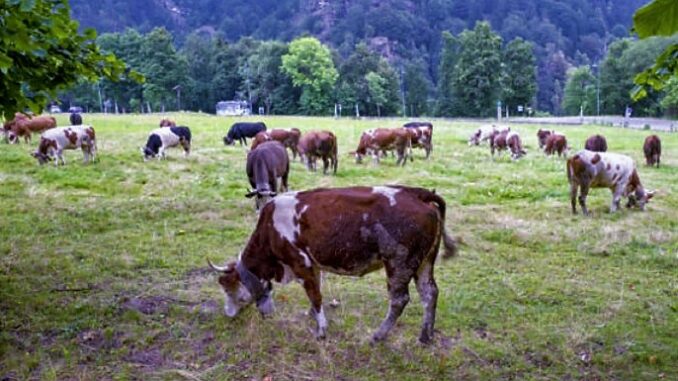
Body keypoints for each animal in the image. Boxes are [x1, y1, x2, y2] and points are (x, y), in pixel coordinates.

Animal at [207, 186, 460, 342]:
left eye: (228, 288)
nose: (228, 314)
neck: (270, 228)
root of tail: (416, 193)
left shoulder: (301, 264)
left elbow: (315, 296)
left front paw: (321, 331)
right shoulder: (314, 266)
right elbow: (316, 293)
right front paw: (311, 315)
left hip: (399, 264)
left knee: (399, 300)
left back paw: (378, 335)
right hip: (424, 263)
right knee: (430, 293)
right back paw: (425, 336)